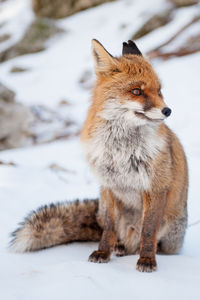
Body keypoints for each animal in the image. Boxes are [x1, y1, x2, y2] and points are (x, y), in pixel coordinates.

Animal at [9, 39, 188, 272]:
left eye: (159, 91)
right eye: (136, 91)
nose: (167, 111)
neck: (121, 150)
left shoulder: (155, 187)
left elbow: (148, 231)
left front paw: (147, 259)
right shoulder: (109, 186)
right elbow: (109, 229)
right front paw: (103, 252)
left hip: (171, 232)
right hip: (102, 207)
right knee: (115, 234)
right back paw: (119, 247)